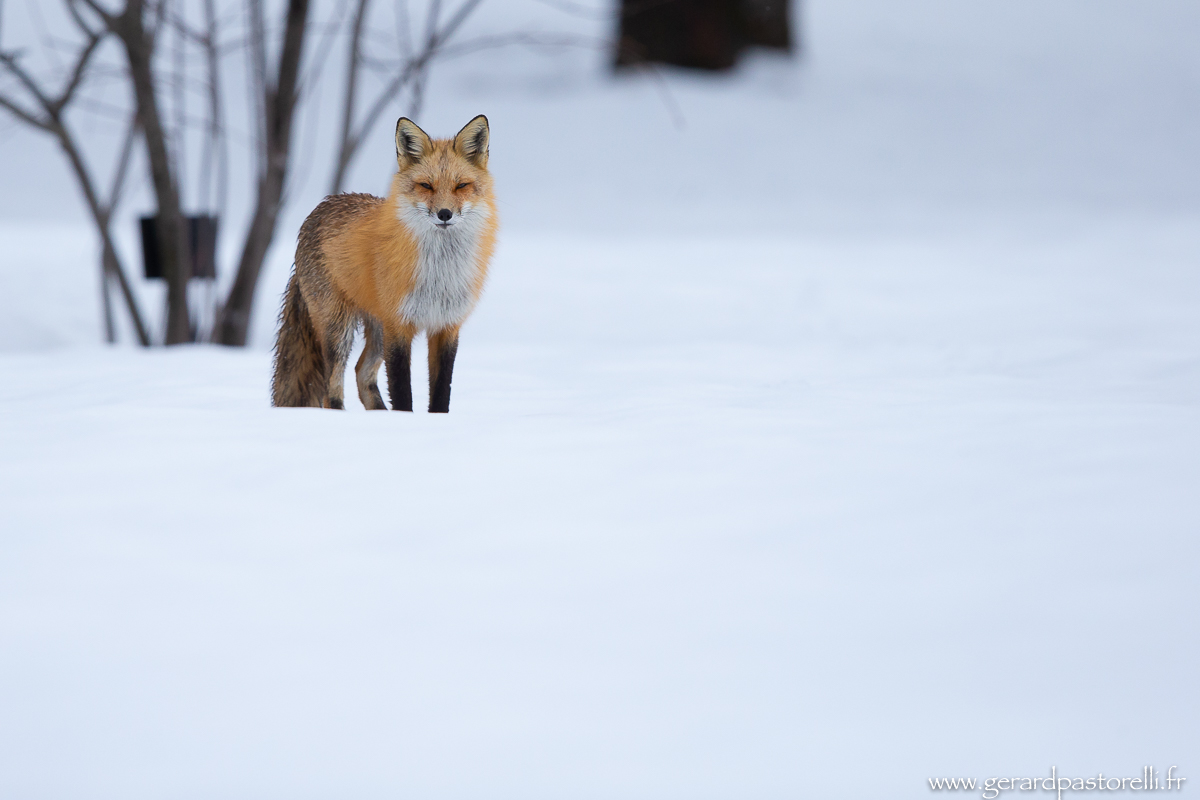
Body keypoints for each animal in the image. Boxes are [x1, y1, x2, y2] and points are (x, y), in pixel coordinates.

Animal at [271, 114, 497, 412]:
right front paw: (402, 420)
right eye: (426, 185)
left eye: (461, 186)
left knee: (362, 374)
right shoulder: (398, 326)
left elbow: (441, 394)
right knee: (332, 390)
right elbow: (402, 393)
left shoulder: (446, 326)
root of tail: (322, 205)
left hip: (376, 331)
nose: (444, 214)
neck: (438, 274)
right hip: (338, 329)